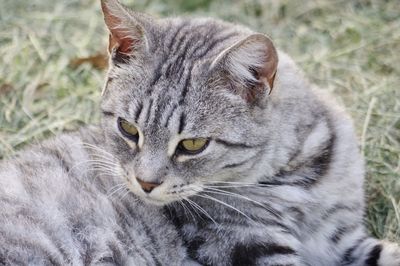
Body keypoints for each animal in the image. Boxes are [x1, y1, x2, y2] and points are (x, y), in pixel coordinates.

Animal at [0, 0, 400, 264]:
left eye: (193, 144)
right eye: (127, 128)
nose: (145, 183)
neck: (302, 178)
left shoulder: (341, 241)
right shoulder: (244, 243)